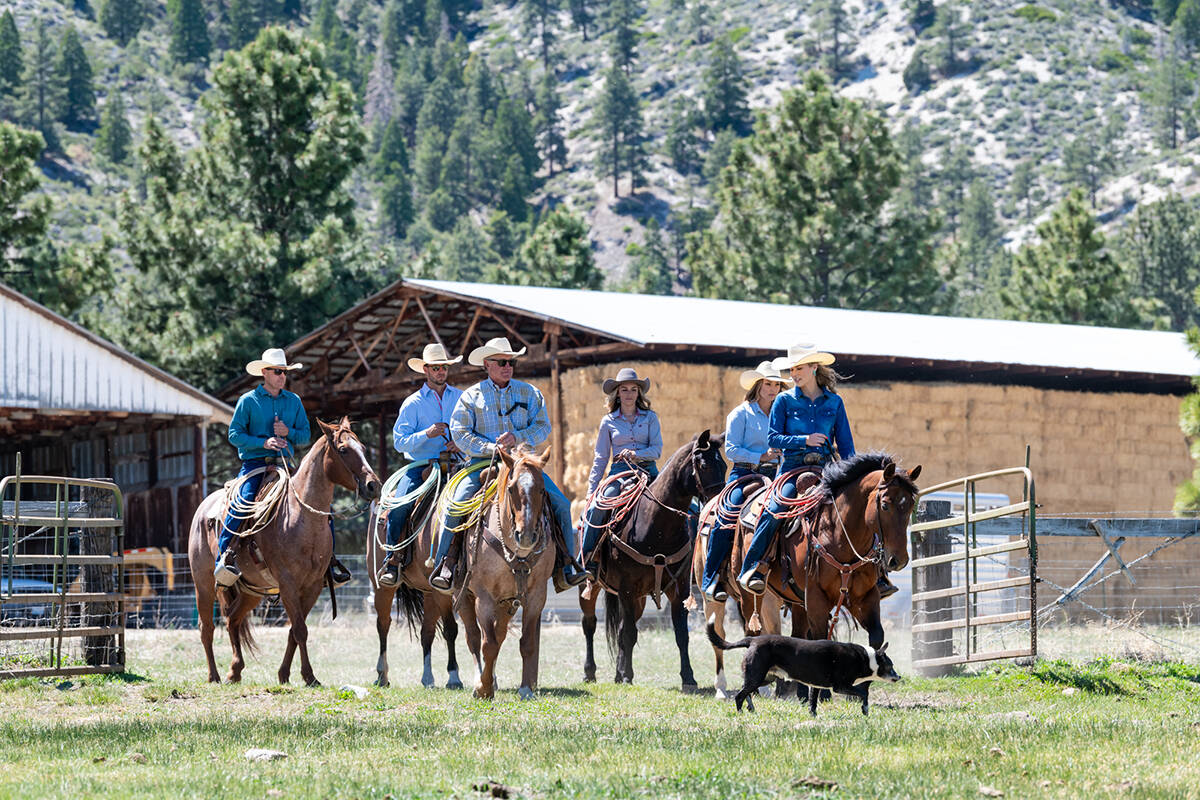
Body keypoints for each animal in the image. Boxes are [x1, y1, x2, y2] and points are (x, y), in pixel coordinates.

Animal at [187, 417, 379, 686]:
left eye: (362, 447)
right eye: (343, 450)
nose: (374, 486)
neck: (302, 518)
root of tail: (203, 507)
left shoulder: (312, 586)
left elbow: (294, 631)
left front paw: (285, 674)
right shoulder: (288, 584)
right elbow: (300, 629)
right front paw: (309, 676)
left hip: (252, 590)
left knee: (233, 619)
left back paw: (235, 671)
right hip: (203, 584)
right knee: (207, 628)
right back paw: (213, 675)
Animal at [364, 465, 472, 690]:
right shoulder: (442, 591)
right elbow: (451, 629)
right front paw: (454, 677)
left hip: (429, 593)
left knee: (426, 632)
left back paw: (427, 678)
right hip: (382, 587)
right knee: (383, 624)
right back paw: (382, 675)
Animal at [456, 443, 554, 700]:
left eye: (542, 490)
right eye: (511, 489)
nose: (527, 536)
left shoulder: (536, 597)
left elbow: (526, 642)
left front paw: (526, 689)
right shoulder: (484, 598)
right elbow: (487, 644)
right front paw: (484, 689)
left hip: (507, 603)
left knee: (498, 635)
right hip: (462, 596)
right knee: (474, 638)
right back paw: (479, 680)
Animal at [576, 431, 724, 690]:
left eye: (724, 465)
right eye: (704, 465)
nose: (719, 503)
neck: (657, 526)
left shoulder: (679, 588)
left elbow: (680, 634)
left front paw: (688, 677)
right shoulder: (626, 588)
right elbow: (629, 634)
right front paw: (627, 675)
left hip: (639, 598)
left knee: (621, 628)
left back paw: (617, 674)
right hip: (591, 586)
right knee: (590, 625)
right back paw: (590, 672)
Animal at [700, 618, 902, 714]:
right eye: (891, 665)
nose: (899, 677)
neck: (867, 658)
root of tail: (752, 640)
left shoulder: (816, 686)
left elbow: (812, 704)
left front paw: (813, 717)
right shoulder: (840, 686)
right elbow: (863, 693)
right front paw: (865, 710)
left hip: (764, 677)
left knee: (747, 692)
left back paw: (751, 708)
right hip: (757, 675)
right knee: (739, 695)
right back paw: (741, 712)